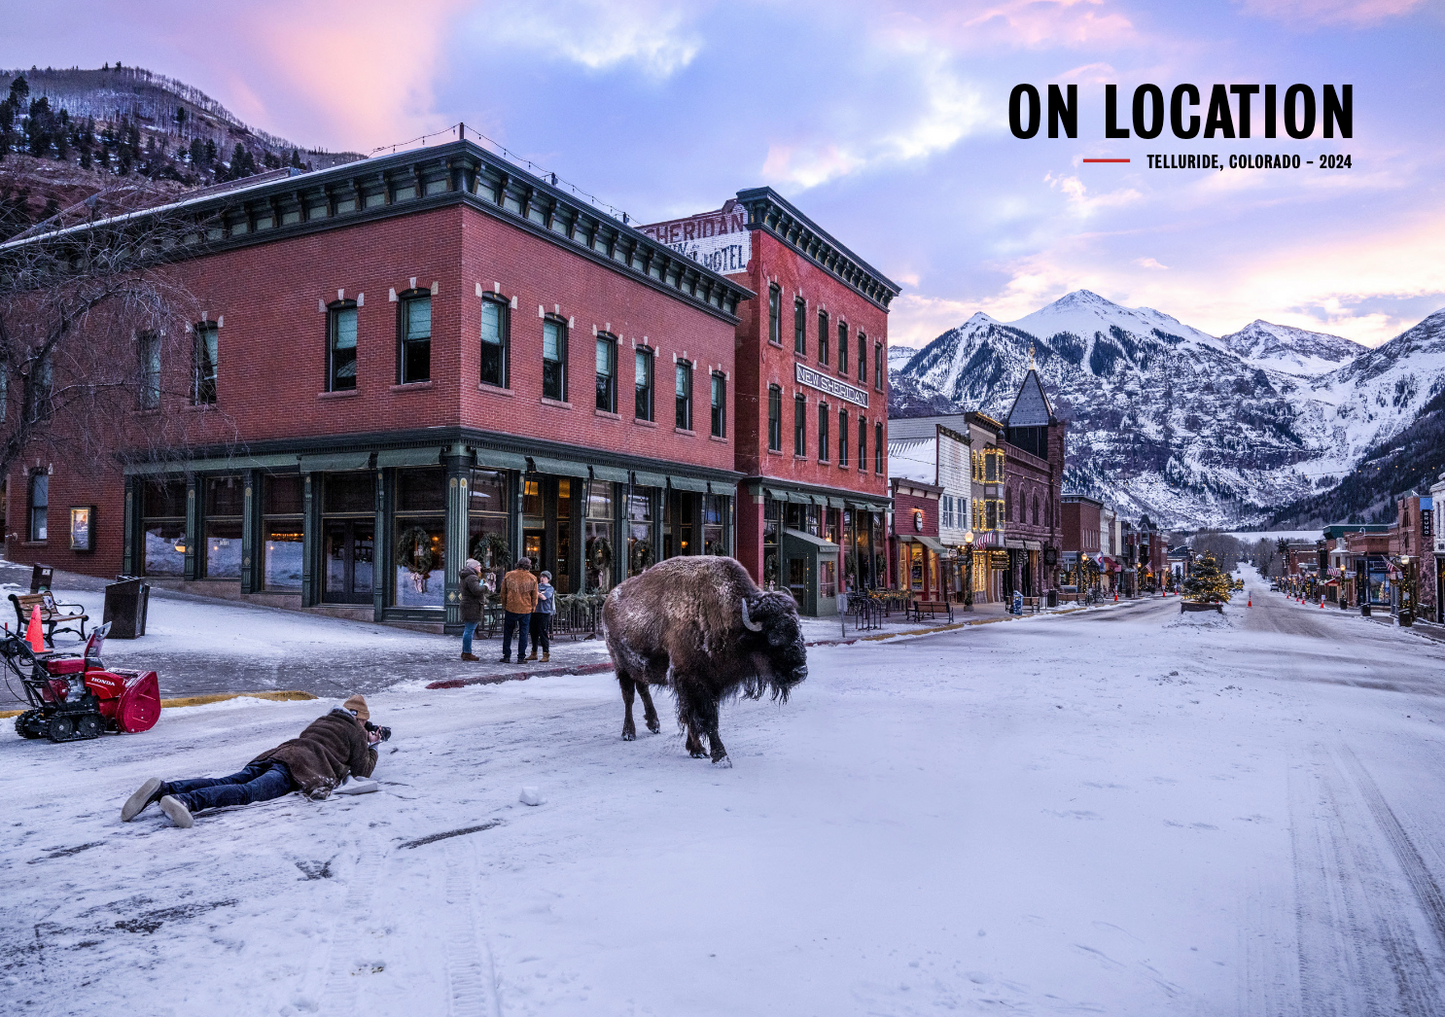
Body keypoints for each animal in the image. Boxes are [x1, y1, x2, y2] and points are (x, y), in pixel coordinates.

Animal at [595, 554, 803, 762]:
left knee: (642, 689)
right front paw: (719, 755)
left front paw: (698, 750)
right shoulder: (693, 681)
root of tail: (609, 599)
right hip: (621, 665)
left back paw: (654, 724)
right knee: (628, 697)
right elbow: (704, 718)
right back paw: (629, 733)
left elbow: (697, 717)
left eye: (798, 631)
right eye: (774, 637)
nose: (800, 672)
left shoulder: (708, 683)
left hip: (639, 666)